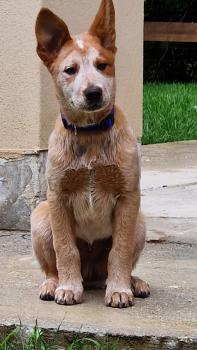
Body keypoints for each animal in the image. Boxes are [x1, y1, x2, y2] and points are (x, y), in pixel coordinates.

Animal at [31, 0, 150, 308]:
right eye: (70, 70)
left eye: (102, 65)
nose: (94, 92)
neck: (90, 134)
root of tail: (91, 275)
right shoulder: (57, 197)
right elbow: (65, 248)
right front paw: (68, 288)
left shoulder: (128, 197)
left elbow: (119, 251)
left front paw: (120, 290)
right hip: (40, 217)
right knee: (51, 266)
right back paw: (52, 284)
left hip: (140, 222)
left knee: (117, 263)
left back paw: (134, 282)